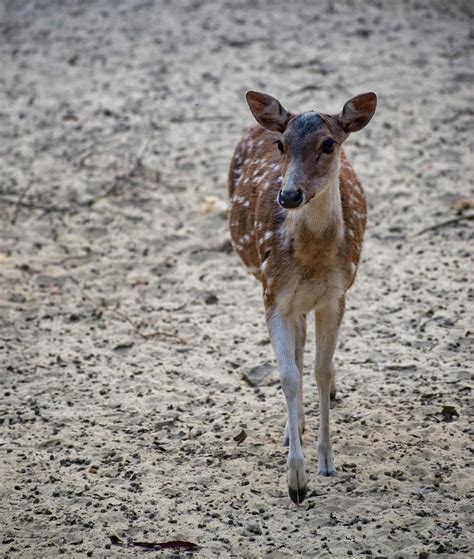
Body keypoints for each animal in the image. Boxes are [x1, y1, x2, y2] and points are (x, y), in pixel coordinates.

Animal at [230, 91, 378, 504]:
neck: (311, 259)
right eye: (281, 145)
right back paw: (291, 427)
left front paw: (326, 461)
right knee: (295, 351)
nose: (289, 194)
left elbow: (321, 371)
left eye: (329, 144)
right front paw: (296, 480)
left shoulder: (336, 296)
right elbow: (289, 375)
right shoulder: (273, 294)